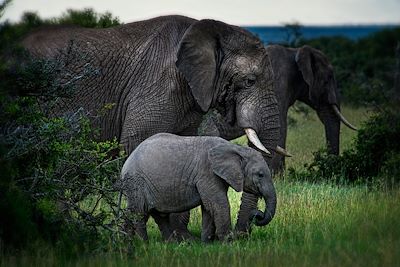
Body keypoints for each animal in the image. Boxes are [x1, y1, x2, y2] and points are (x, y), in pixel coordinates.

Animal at [119, 134, 276, 243]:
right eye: (260, 174)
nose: (257, 215)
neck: (235, 148)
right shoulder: (207, 173)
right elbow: (218, 204)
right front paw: (228, 243)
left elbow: (208, 207)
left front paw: (206, 243)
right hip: (136, 182)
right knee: (139, 213)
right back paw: (144, 244)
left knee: (154, 214)